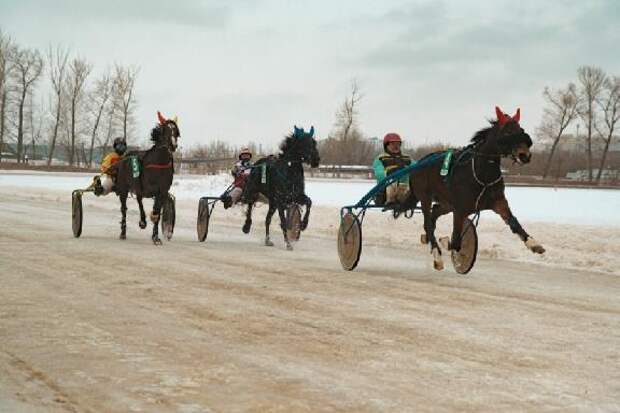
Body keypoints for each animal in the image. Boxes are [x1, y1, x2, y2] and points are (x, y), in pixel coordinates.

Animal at [112, 111, 179, 243]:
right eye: (165, 130)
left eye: (176, 131)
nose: (173, 145)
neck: (160, 163)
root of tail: (125, 157)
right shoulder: (150, 188)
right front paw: (153, 234)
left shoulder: (162, 192)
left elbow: (156, 213)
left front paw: (156, 237)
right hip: (123, 188)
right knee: (124, 208)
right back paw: (123, 232)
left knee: (139, 200)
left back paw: (142, 221)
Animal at [410, 104, 544, 268]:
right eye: (507, 132)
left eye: (521, 130)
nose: (525, 155)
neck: (483, 175)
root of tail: (419, 162)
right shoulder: (460, 209)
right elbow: (455, 242)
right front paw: (446, 243)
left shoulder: (498, 201)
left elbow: (513, 222)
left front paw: (533, 243)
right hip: (425, 197)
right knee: (429, 223)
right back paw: (437, 255)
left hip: (446, 203)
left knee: (433, 214)